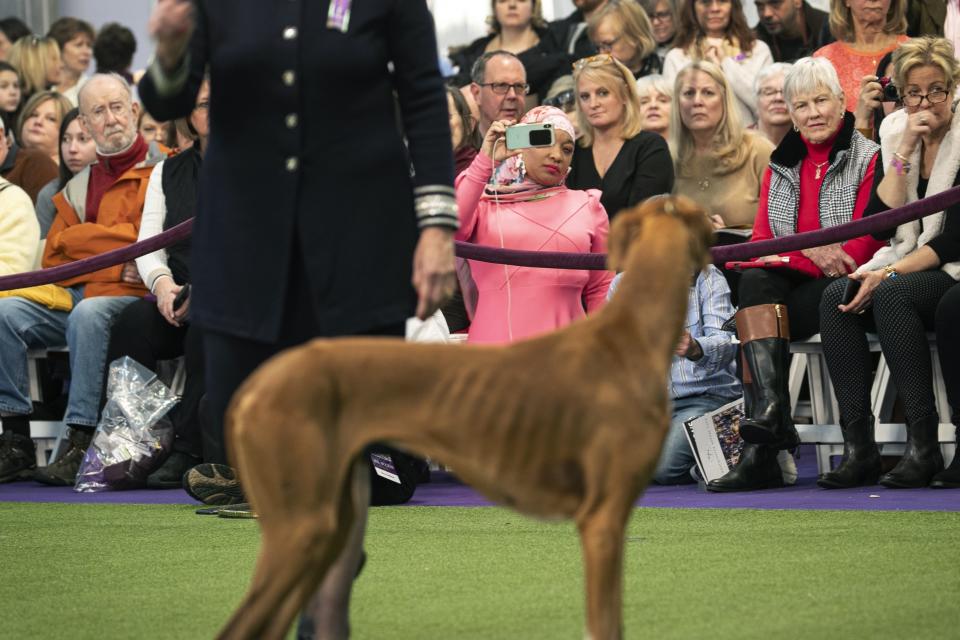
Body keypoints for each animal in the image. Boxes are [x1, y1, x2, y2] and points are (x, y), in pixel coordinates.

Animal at [218, 198, 712, 636]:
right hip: (301, 529)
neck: (628, 336)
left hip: (328, 524)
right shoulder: (603, 519)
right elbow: (605, 624)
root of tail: (256, 384)